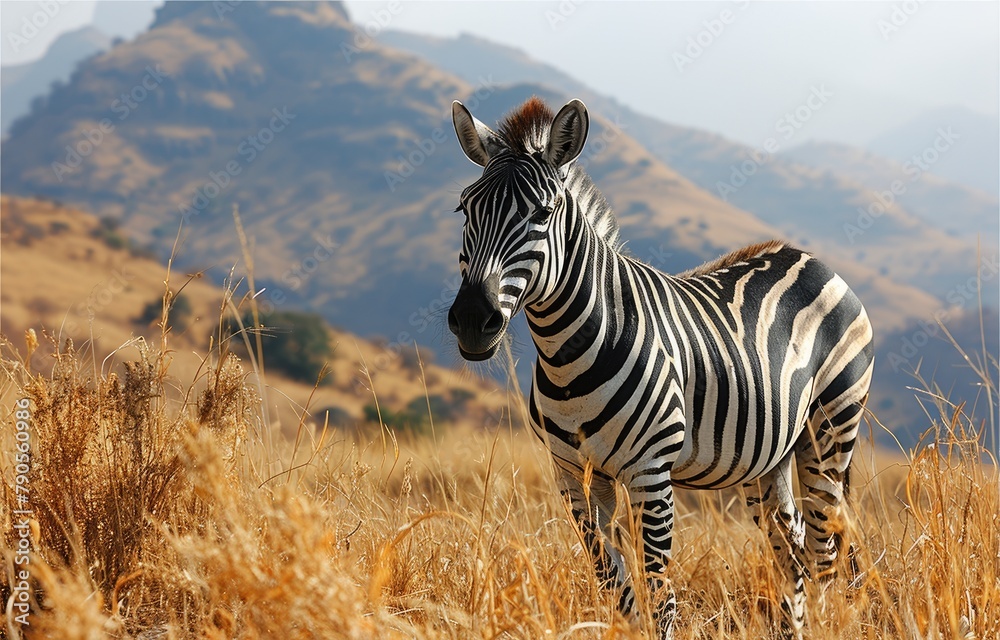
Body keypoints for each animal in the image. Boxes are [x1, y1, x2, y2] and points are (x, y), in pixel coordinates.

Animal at [446, 96, 874, 638]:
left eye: (542, 214)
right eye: (465, 209)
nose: (471, 320)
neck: (567, 357)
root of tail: (812, 259)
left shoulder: (651, 473)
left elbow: (658, 593)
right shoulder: (573, 474)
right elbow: (615, 585)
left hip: (831, 428)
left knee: (823, 553)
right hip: (772, 455)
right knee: (792, 552)